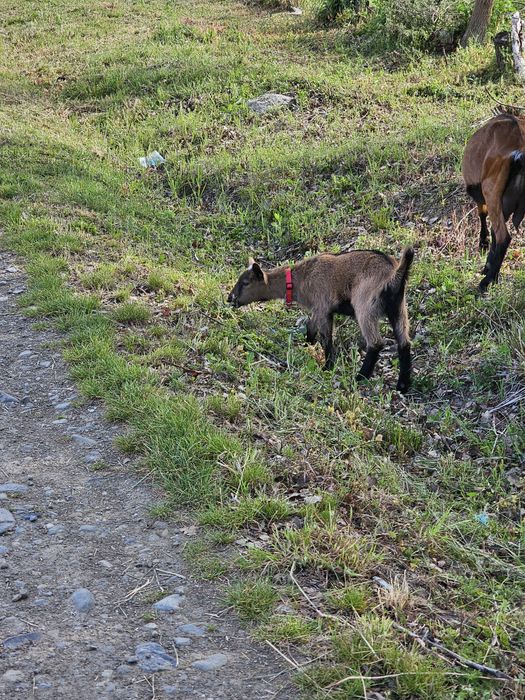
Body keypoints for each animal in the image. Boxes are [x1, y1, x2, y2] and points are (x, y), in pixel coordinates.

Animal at [228, 248, 414, 393]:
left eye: (245, 282)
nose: (230, 298)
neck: (300, 279)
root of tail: (395, 272)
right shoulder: (318, 310)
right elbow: (311, 328)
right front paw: (307, 346)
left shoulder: (323, 308)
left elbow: (326, 338)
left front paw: (327, 367)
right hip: (398, 309)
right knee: (404, 343)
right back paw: (403, 385)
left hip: (364, 306)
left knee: (376, 343)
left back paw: (360, 377)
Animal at [463, 112, 525, 292]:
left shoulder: (481, 193)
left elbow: (482, 215)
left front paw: (483, 246)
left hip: (491, 191)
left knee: (504, 237)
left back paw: (485, 283)